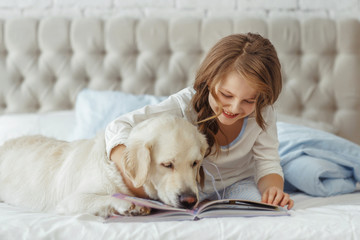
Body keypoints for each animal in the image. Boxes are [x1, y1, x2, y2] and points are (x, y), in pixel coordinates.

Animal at [0, 114, 208, 218]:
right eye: (167, 164)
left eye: (195, 163)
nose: (189, 201)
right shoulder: (70, 201)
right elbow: (102, 198)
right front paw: (129, 204)